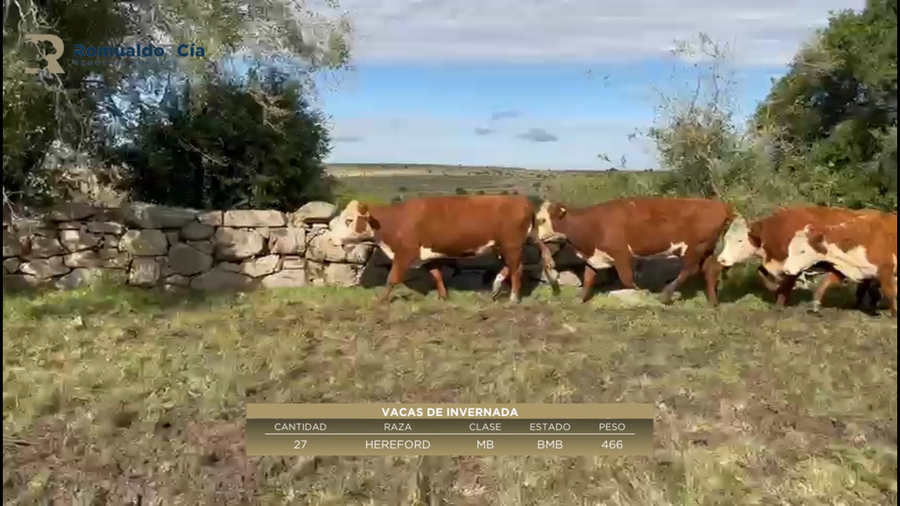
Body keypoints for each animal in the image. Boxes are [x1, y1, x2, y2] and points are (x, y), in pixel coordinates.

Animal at [329, 195, 560, 303]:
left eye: (349, 220)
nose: (331, 238)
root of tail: (523, 201)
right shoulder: (426, 255)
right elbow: (437, 274)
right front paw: (442, 297)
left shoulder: (406, 253)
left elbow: (392, 278)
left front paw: (380, 300)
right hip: (501, 245)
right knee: (509, 268)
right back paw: (494, 288)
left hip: (512, 245)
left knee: (517, 269)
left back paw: (513, 297)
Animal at [534, 197, 735, 306]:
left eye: (542, 220)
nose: (536, 237)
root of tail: (720, 205)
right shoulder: (595, 257)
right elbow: (589, 278)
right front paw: (581, 298)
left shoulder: (621, 255)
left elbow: (627, 279)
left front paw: (641, 294)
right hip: (707, 248)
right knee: (710, 270)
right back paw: (712, 301)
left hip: (694, 247)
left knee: (690, 269)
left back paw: (666, 294)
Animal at [716, 206, 884, 313]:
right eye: (727, 237)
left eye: (740, 240)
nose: (721, 259)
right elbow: (761, 273)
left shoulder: (794, 265)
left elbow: (787, 284)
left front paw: (780, 304)